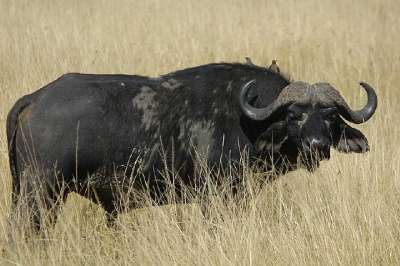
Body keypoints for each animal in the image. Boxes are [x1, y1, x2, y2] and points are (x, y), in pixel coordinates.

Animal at [7, 61, 378, 229]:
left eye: (330, 116)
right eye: (293, 115)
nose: (318, 144)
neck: (249, 122)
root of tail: (36, 98)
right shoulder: (215, 197)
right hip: (40, 193)